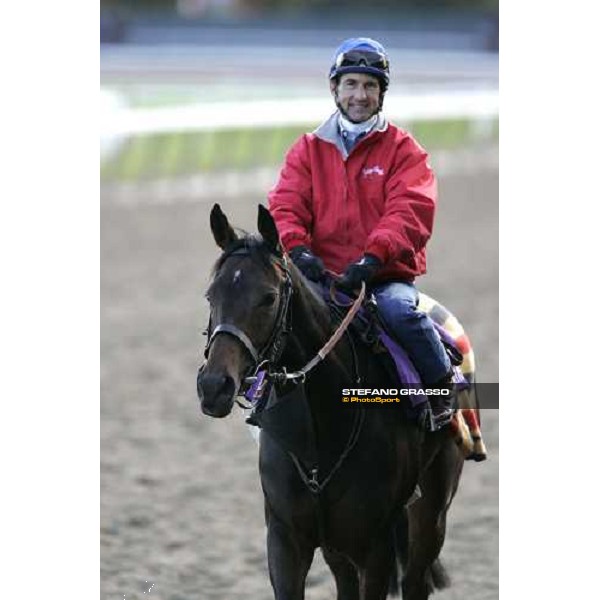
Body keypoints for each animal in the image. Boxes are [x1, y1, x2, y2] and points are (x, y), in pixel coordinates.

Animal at [197, 204, 464, 596]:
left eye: (268, 297)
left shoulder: (375, 546)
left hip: (431, 510)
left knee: (416, 578)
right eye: (211, 295)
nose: (214, 386)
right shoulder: (286, 540)